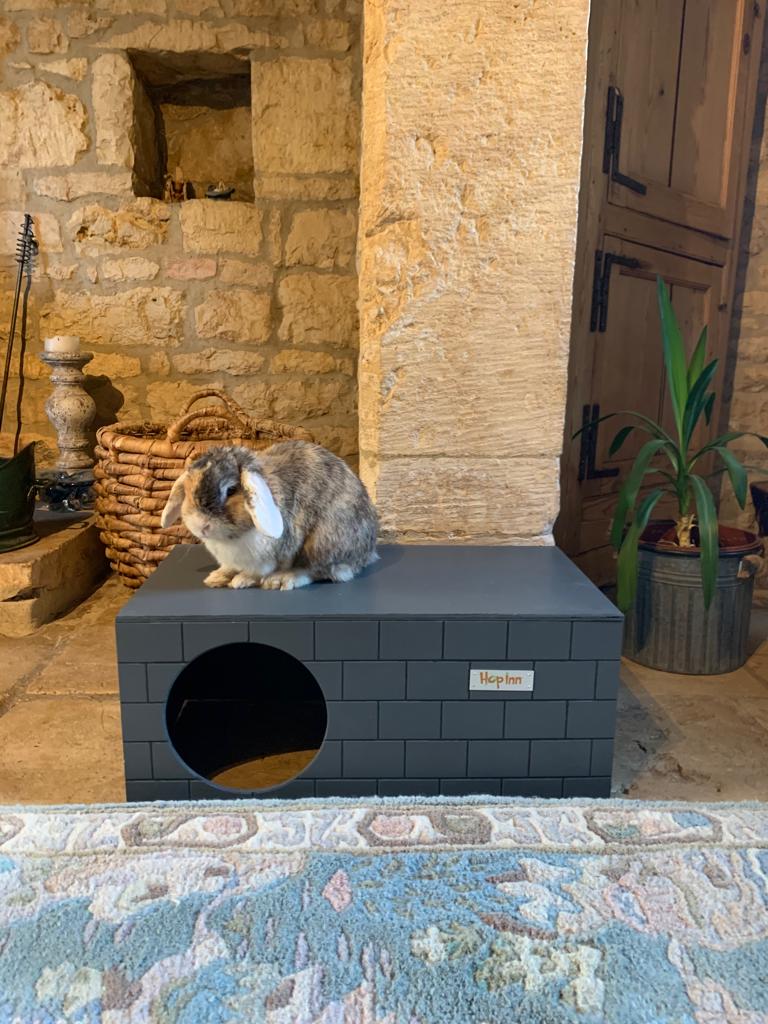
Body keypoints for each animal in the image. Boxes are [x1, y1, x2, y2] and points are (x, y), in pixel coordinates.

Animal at [160, 441, 378, 590]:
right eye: (188, 490)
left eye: (231, 490)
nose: (201, 526)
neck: (230, 538)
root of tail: (368, 552)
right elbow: (229, 567)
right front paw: (217, 577)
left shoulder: (267, 558)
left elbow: (256, 572)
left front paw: (241, 580)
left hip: (322, 543)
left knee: (318, 571)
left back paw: (281, 580)